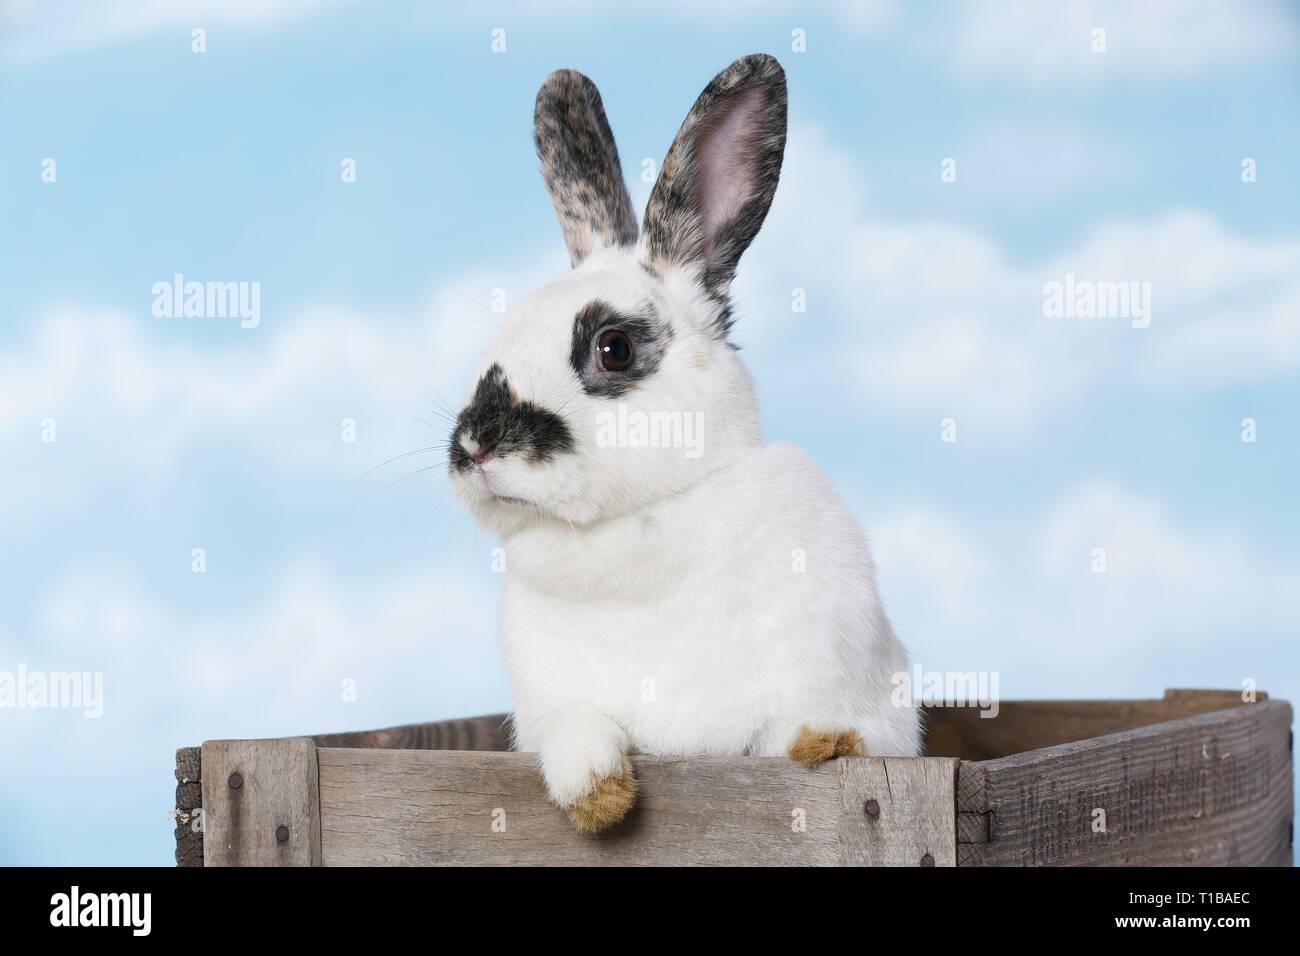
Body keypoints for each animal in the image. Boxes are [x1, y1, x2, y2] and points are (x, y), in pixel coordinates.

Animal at [447, 54, 920, 833]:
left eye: (613, 348)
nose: (478, 445)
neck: (643, 518)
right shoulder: (554, 708)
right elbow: (579, 733)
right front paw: (598, 796)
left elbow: (806, 729)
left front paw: (823, 743)